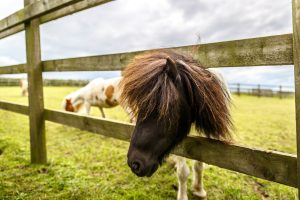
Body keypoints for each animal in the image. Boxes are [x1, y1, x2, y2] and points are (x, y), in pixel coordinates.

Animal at [119, 50, 232, 200]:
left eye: (164, 110)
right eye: (141, 109)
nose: (134, 164)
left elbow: (199, 165)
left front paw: (199, 190)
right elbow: (183, 172)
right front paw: (183, 196)